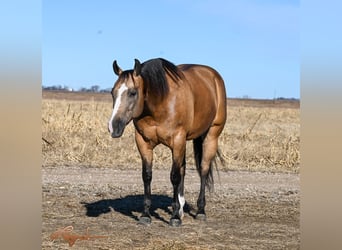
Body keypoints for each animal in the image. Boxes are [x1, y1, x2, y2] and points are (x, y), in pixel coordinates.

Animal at [108, 57, 226, 226]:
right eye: (113, 92)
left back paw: (200, 211)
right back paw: (182, 209)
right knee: (183, 169)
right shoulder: (143, 142)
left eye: (132, 92)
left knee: (203, 169)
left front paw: (175, 217)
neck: (159, 104)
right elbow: (147, 176)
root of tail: (213, 77)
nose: (114, 126)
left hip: (211, 136)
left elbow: (174, 176)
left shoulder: (177, 141)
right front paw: (146, 215)